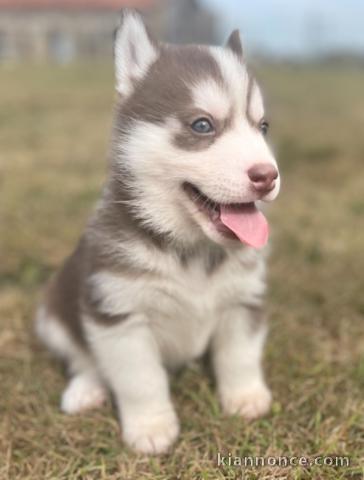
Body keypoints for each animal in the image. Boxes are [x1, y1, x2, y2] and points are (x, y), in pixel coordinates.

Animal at [35, 10, 280, 454]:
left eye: (263, 126)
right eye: (202, 125)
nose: (267, 176)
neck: (192, 249)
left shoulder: (244, 298)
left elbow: (240, 355)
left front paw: (245, 397)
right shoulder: (118, 314)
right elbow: (140, 379)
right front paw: (150, 427)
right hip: (53, 311)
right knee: (81, 356)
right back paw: (85, 389)